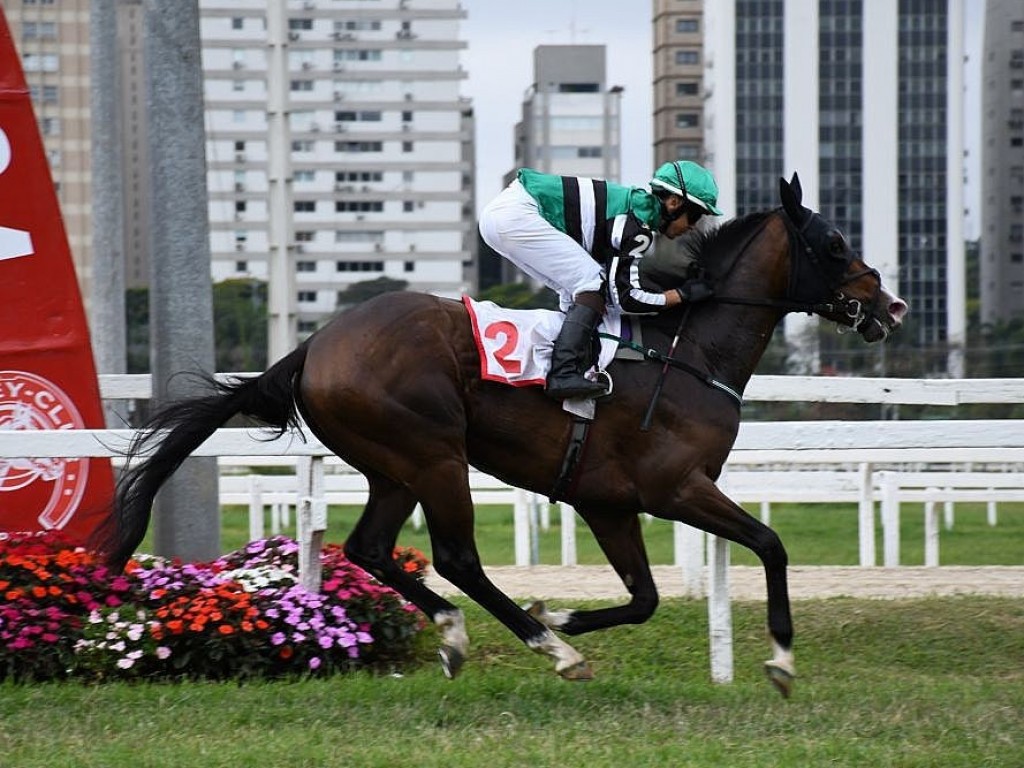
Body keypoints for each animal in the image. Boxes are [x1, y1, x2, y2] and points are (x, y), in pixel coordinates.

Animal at [99, 174, 909, 696]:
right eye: (834, 243)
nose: (891, 305)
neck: (688, 352)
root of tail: (313, 346)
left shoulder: (607, 502)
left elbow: (645, 598)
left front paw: (566, 613)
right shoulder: (675, 488)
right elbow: (770, 545)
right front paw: (781, 660)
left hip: (394, 466)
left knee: (371, 548)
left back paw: (468, 635)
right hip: (434, 455)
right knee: (455, 556)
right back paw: (546, 650)